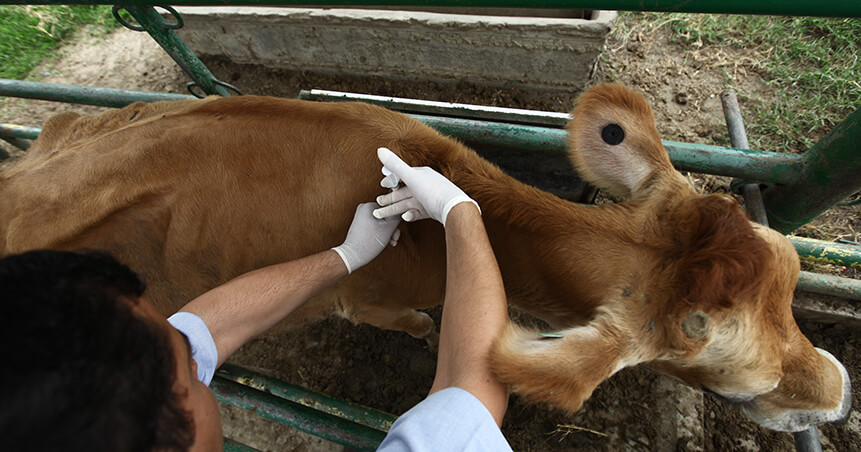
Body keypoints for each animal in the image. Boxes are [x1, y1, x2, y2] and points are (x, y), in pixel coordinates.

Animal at [0, 83, 848, 432]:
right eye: (739, 386)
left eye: (791, 278)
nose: (841, 394)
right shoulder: (364, 296)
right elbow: (405, 320)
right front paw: (420, 328)